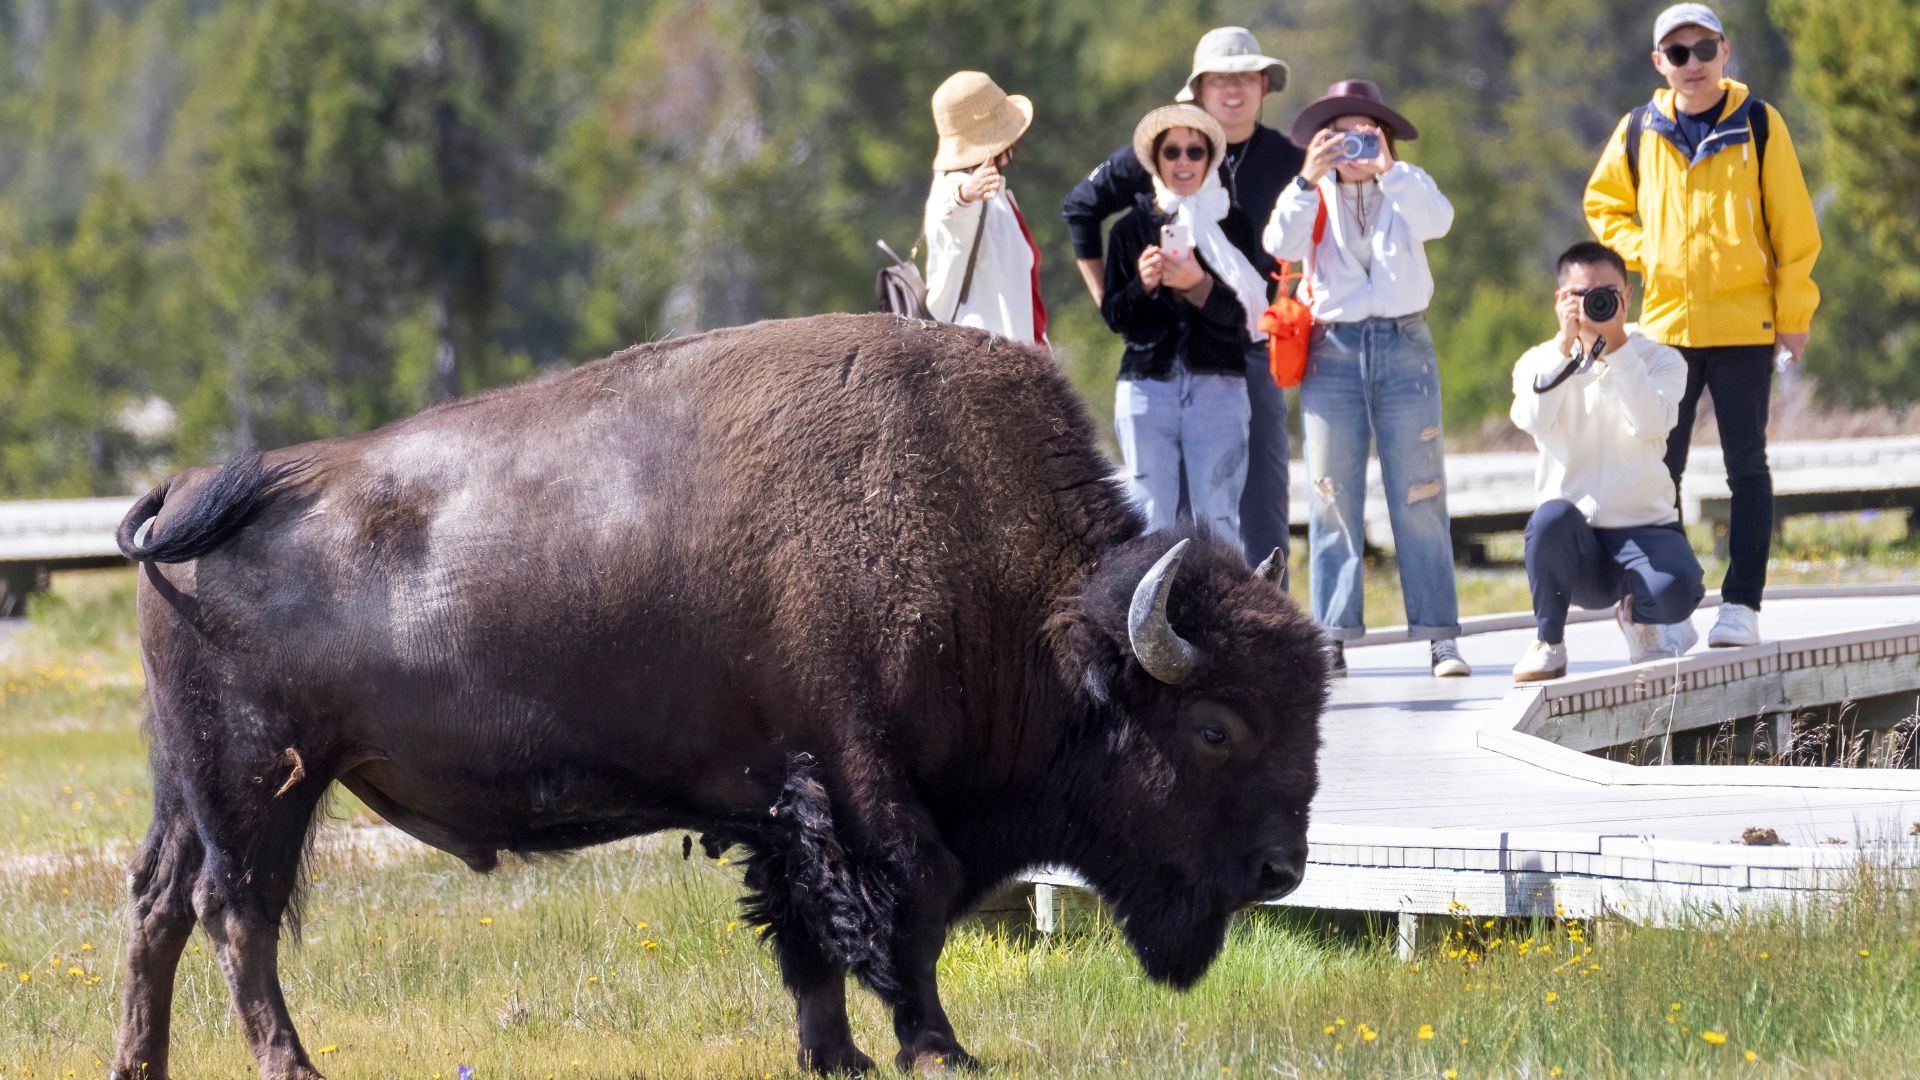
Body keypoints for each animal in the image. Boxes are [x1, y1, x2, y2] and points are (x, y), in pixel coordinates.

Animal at [109, 313, 1327, 1078]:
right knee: (236, 912)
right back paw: (292, 1066)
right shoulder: (865, 786)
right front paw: (939, 1049)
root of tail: (194, 488)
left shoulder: (780, 803)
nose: (1282, 868)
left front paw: (835, 1057)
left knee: (159, 904)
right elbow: (907, 910)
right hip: (262, 782)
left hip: (189, 784)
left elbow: (807, 936)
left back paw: (140, 1065)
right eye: (1215, 728)